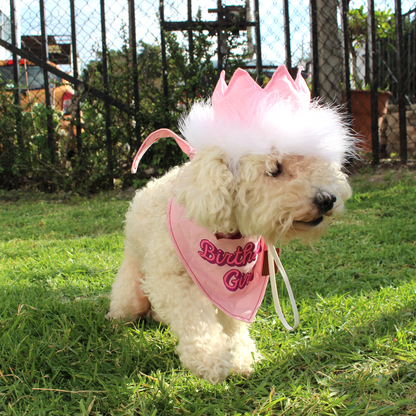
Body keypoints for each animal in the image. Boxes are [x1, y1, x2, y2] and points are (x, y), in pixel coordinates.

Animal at [106, 67, 354, 384]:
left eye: (317, 162)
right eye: (275, 169)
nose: (327, 199)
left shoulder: (232, 294)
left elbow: (233, 324)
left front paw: (241, 356)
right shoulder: (171, 279)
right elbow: (194, 319)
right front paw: (209, 358)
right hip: (134, 282)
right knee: (130, 302)